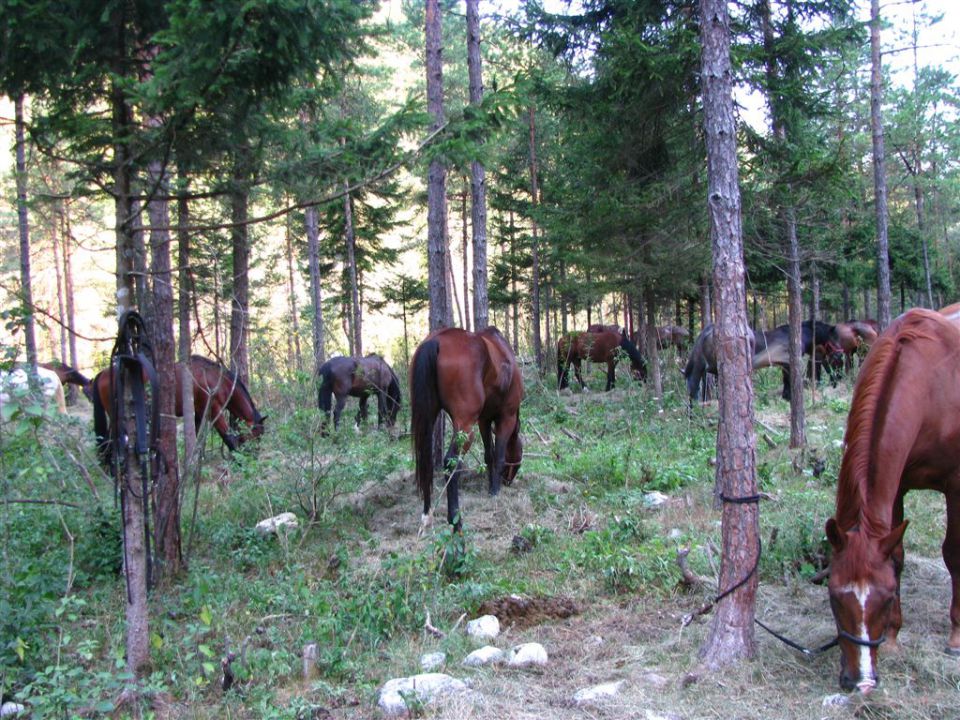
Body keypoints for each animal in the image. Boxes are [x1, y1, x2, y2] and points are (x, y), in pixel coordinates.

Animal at [92, 352, 264, 464]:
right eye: (257, 434)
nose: (255, 455)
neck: (214, 379)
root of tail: (103, 373)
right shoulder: (214, 411)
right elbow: (226, 435)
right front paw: (237, 458)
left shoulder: (198, 413)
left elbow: (196, 437)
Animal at [408, 330, 520, 532]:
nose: (508, 481)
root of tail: (436, 340)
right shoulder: (507, 417)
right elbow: (499, 457)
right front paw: (496, 491)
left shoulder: (484, 420)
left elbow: (489, 456)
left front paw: (491, 488)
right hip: (466, 429)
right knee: (450, 463)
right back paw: (456, 522)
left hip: (429, 418)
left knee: (425, 462)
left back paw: (427, 515)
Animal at [820, 308, 960, 692]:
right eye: (834, 596)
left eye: (882, 599)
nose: (862, 681)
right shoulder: (895, 485)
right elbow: (896, 555)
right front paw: (895, 637)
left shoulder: (956, 483)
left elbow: (953, 553)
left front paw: (956, 636)